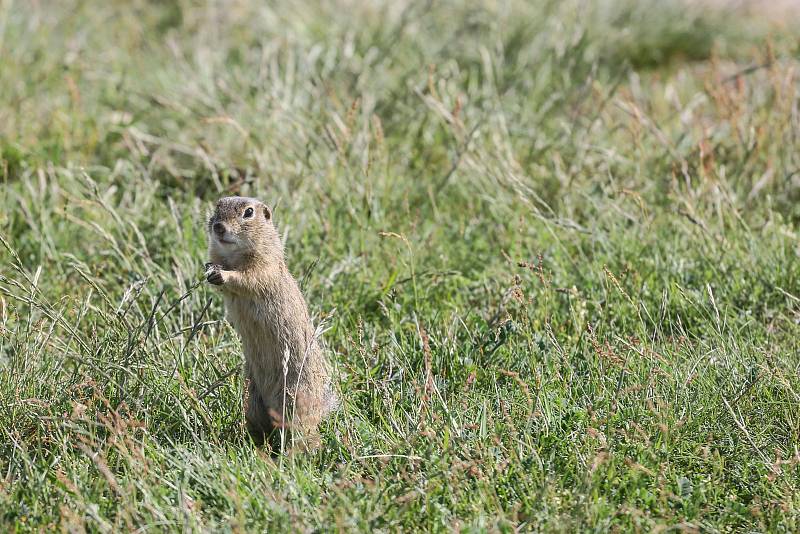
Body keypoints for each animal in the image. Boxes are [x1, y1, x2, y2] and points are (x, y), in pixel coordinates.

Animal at [203, 197, 338, 452]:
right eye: (217, 206)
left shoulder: (264, 266)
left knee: (304, 434)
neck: (234, 256)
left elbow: (247, 278)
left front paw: (223, 275)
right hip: (252, 398)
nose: (218, 227)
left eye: (248, 212)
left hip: (294, 398)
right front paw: (209, 270)